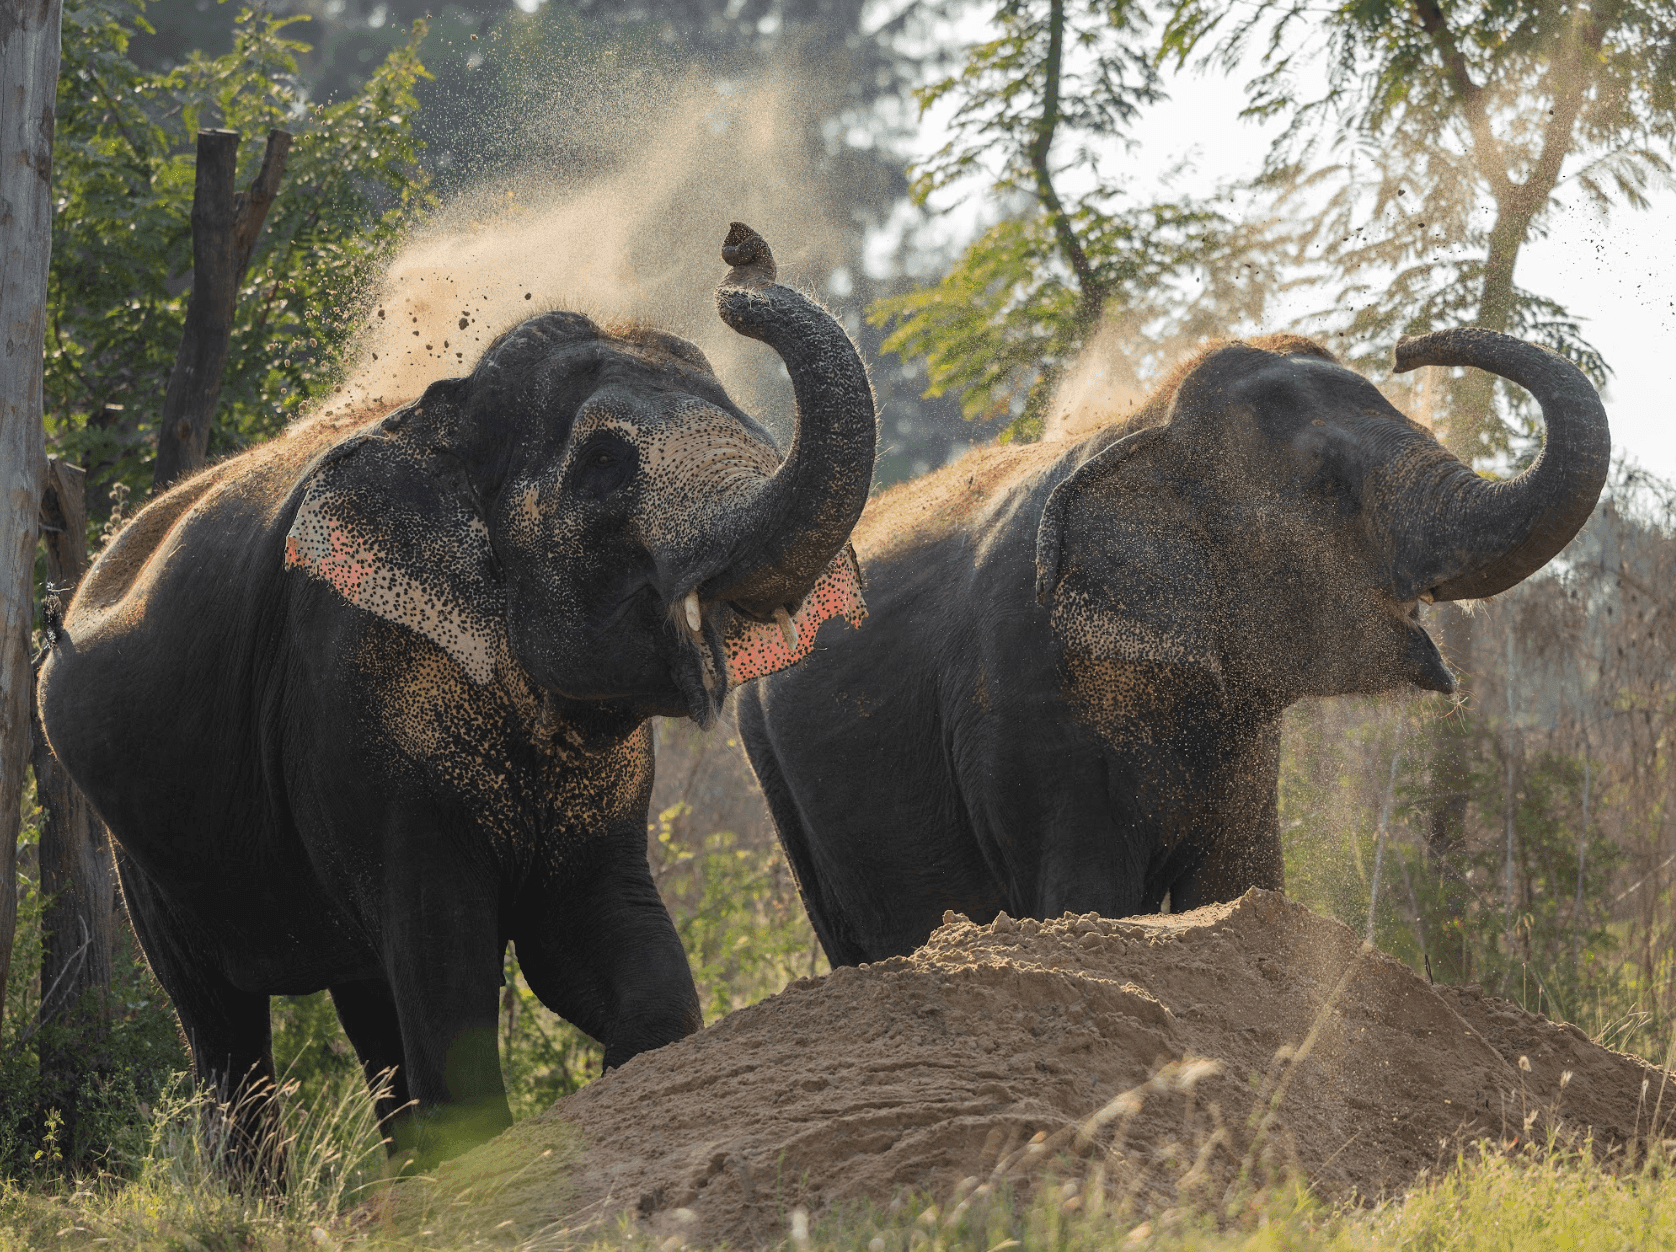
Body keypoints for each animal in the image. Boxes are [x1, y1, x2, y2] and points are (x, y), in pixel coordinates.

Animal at [36, 223, 876, 1164]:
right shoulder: (355, 689)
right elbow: (446, 961)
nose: (738, 247)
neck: (449, 415)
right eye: (604, 465)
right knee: (224, 1028)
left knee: (364, 1000)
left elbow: (597, 942)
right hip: (137, 851)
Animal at [738, 329, 1609, 966]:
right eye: (1327, 485)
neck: (1147, 431)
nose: (1407, 348)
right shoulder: (1027, 688)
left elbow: (1240, 882)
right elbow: (1084, 894)